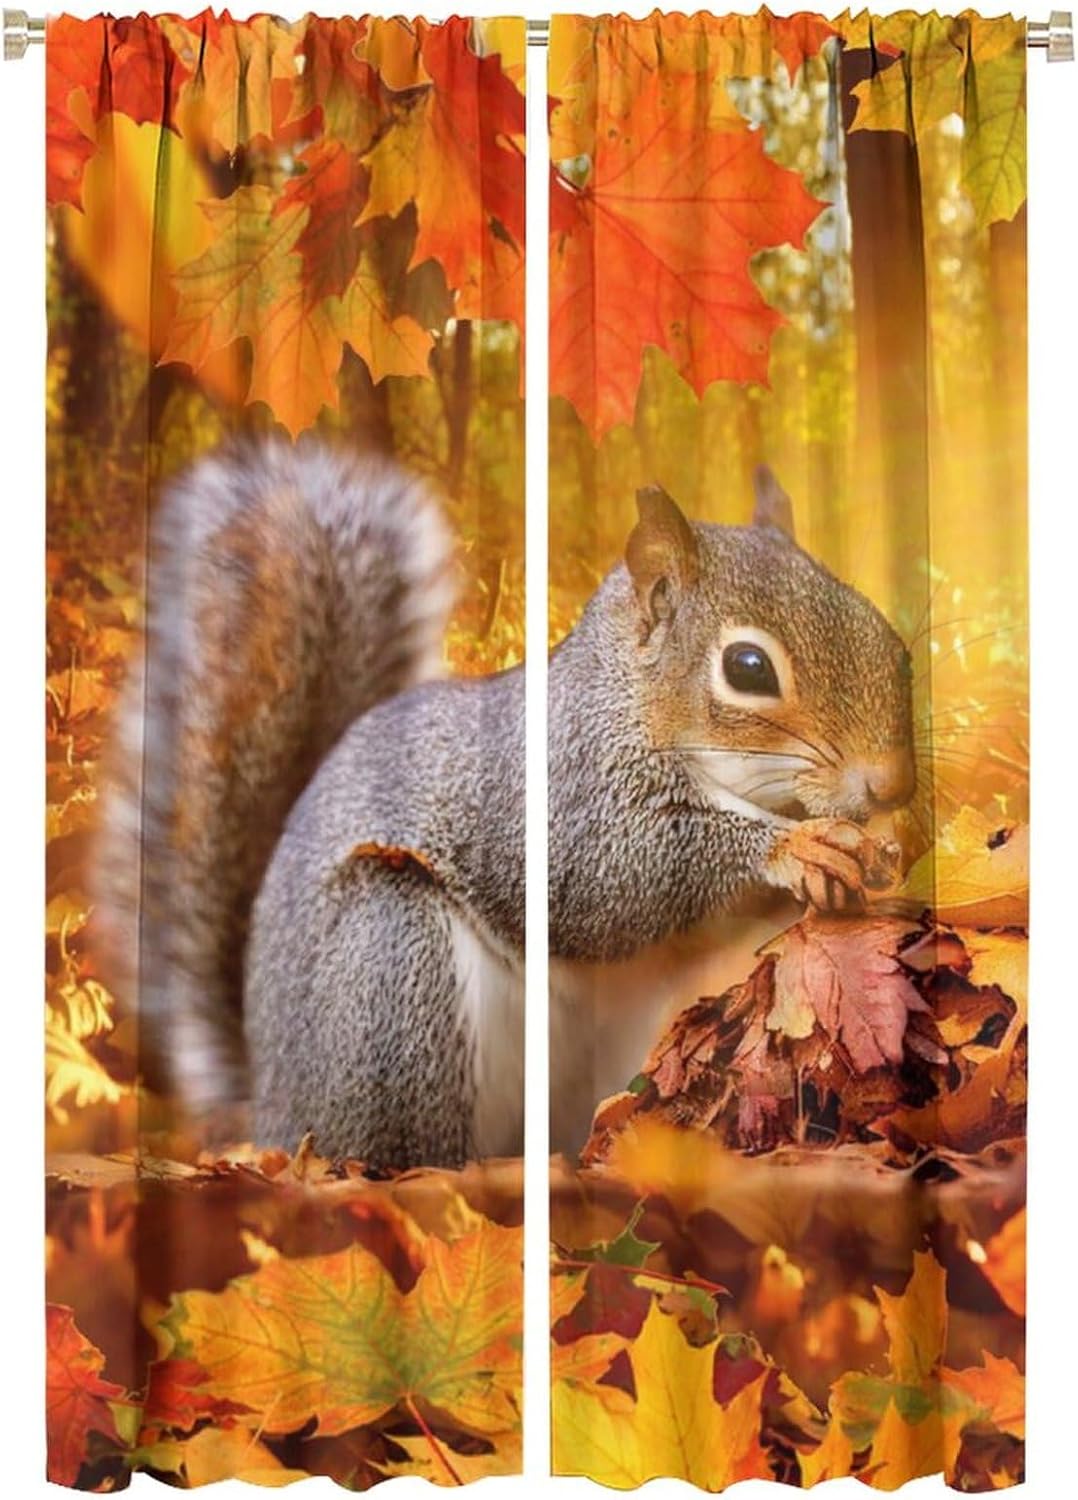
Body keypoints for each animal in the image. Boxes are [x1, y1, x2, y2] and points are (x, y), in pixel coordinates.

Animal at [96, 439, 915, 1170]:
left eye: (896, 643)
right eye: (747, 668)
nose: (892, 785)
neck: (627, 700)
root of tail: (270, 1105)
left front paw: (877, 853)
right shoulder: (557, 797)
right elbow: (615, 878)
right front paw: (795, 847)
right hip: (389, 968)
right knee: (395, 1149)